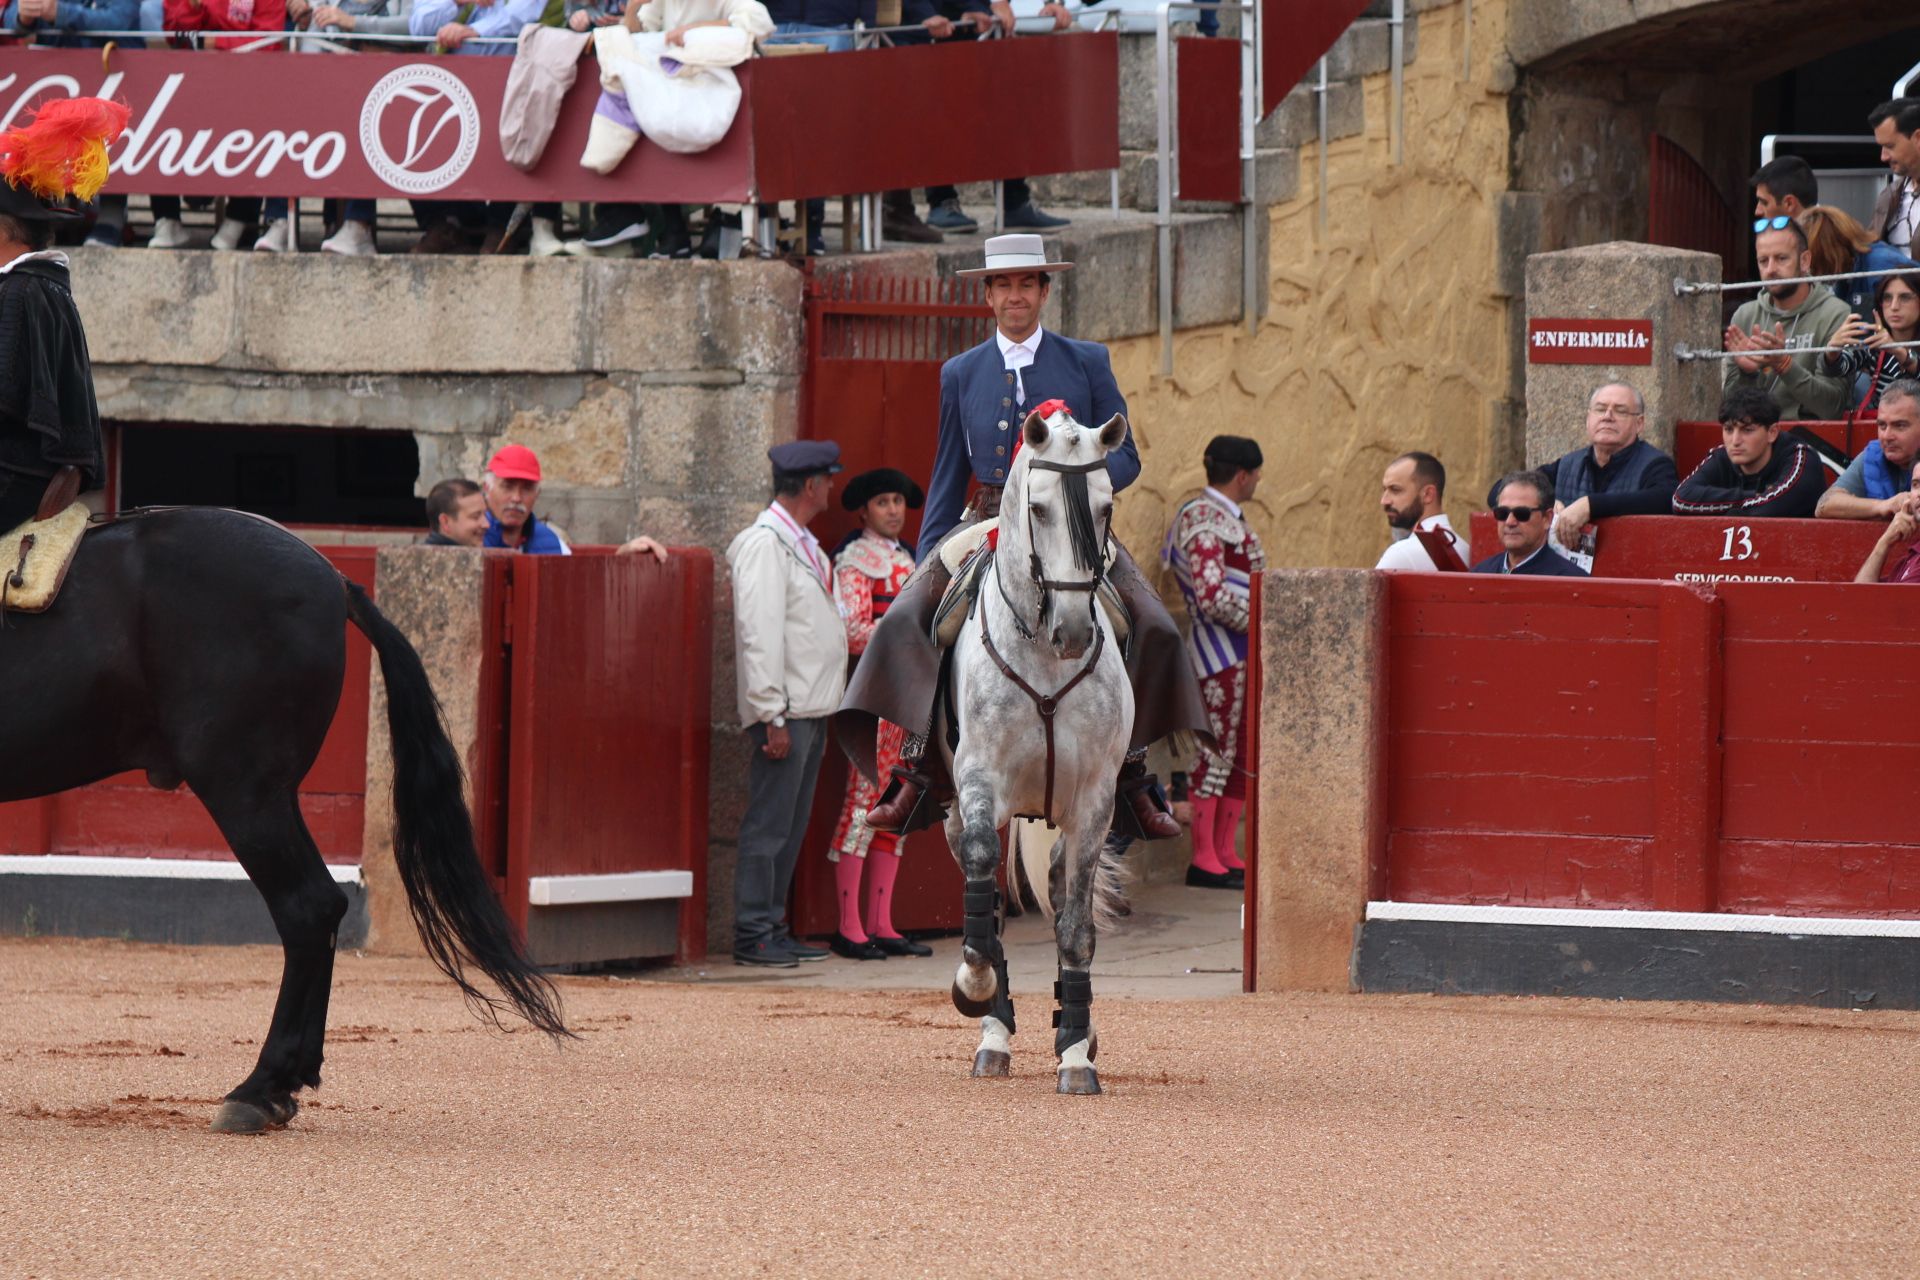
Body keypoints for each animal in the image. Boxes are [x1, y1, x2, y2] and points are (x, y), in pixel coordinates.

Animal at [15, 506, 568, 1128]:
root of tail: (333, 578)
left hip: (243, 787)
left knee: (305, 906)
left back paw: (259, 1088)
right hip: (275, 794)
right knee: (322, 906)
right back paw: (286, 1082)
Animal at [936, 404, 1128, 1097]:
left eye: (1105, 505)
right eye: (1039, 509)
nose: (1072, 631)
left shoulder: (1096, 798)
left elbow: (1075, 926)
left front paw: (1075, 1053)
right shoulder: (978, 781)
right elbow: (982, 894)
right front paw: (975, 990)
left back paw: (1076, 1026)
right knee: (987, 897)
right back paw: (993, 1036)